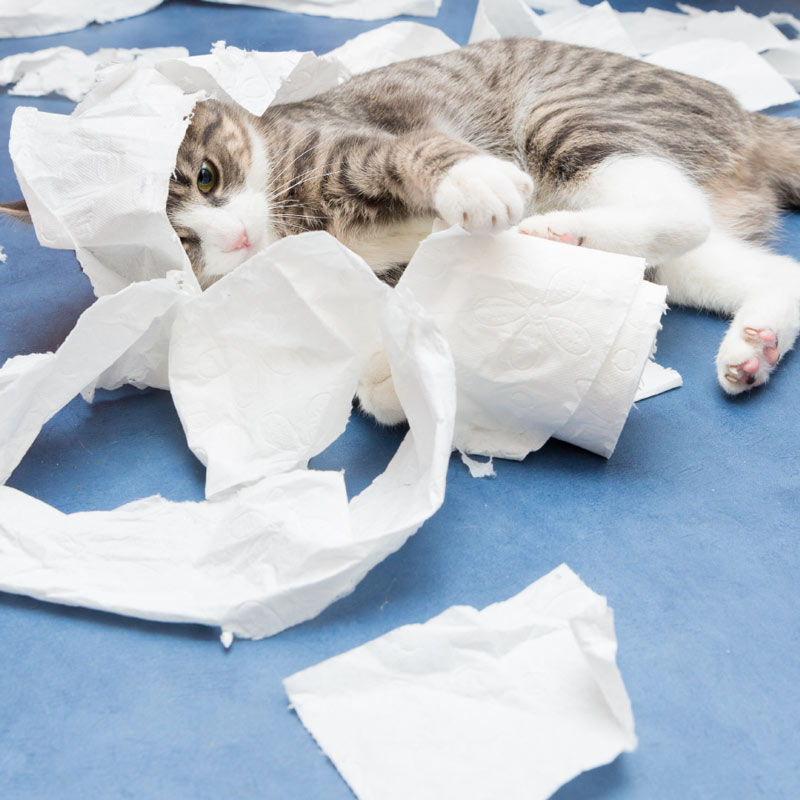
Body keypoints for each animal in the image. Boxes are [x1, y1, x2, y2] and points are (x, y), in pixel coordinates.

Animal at [1, 36, 800, 416]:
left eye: (206, 176)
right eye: (183, 244)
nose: (232, 240)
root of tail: (751, 121)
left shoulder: (353, 138)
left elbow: (411, 151)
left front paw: (474, 182)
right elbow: (405, 301)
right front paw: (395, 374)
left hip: (566, 109)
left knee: (672, 209)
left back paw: (556, 232)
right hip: (692, 241)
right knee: (753, 263)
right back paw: (754, 345)